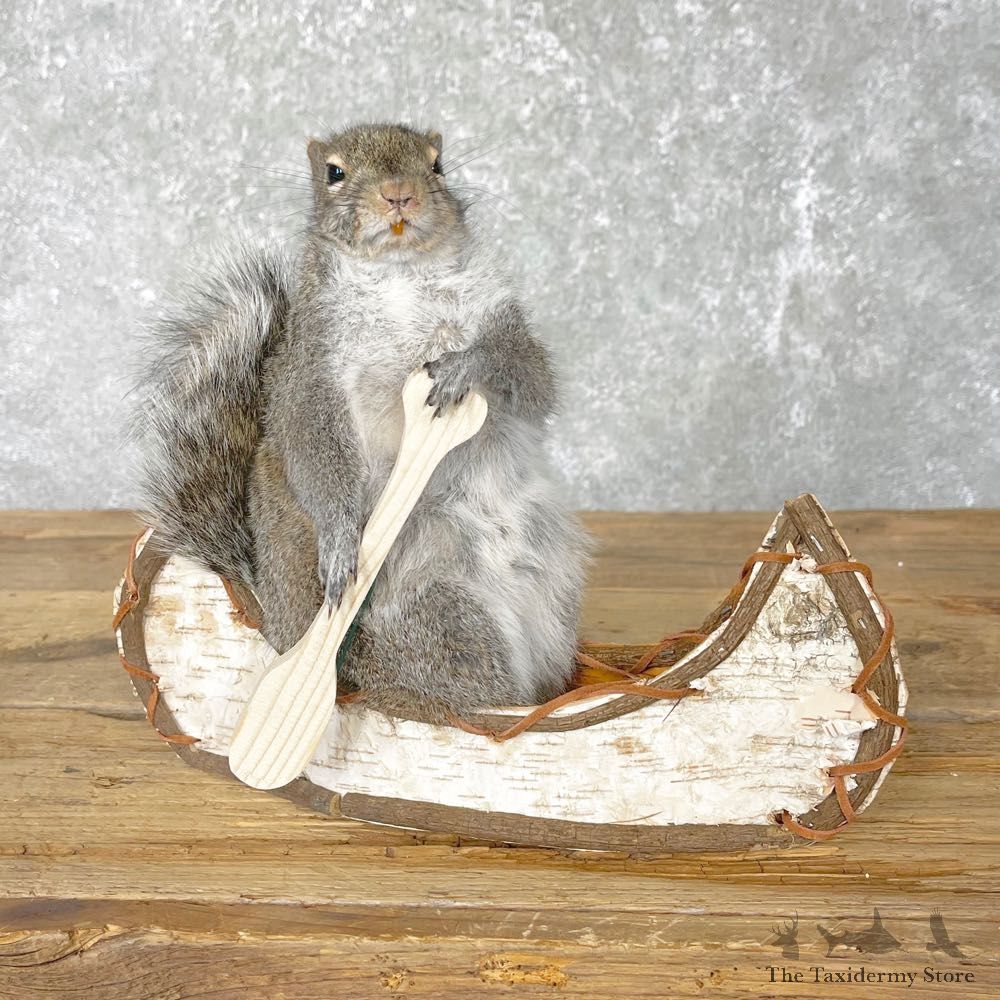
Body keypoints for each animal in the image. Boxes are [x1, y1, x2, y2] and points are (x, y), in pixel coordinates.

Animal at [135, 122, 590, 719]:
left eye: (437, 164)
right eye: (334, 172)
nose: (399, 194)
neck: (400, 274)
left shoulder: (502, 318)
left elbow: (534, 381)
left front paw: (468, 365)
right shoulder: (311, 373)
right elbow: (312, 446)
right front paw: (339, 539)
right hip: (445, 620)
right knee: (471, 686)